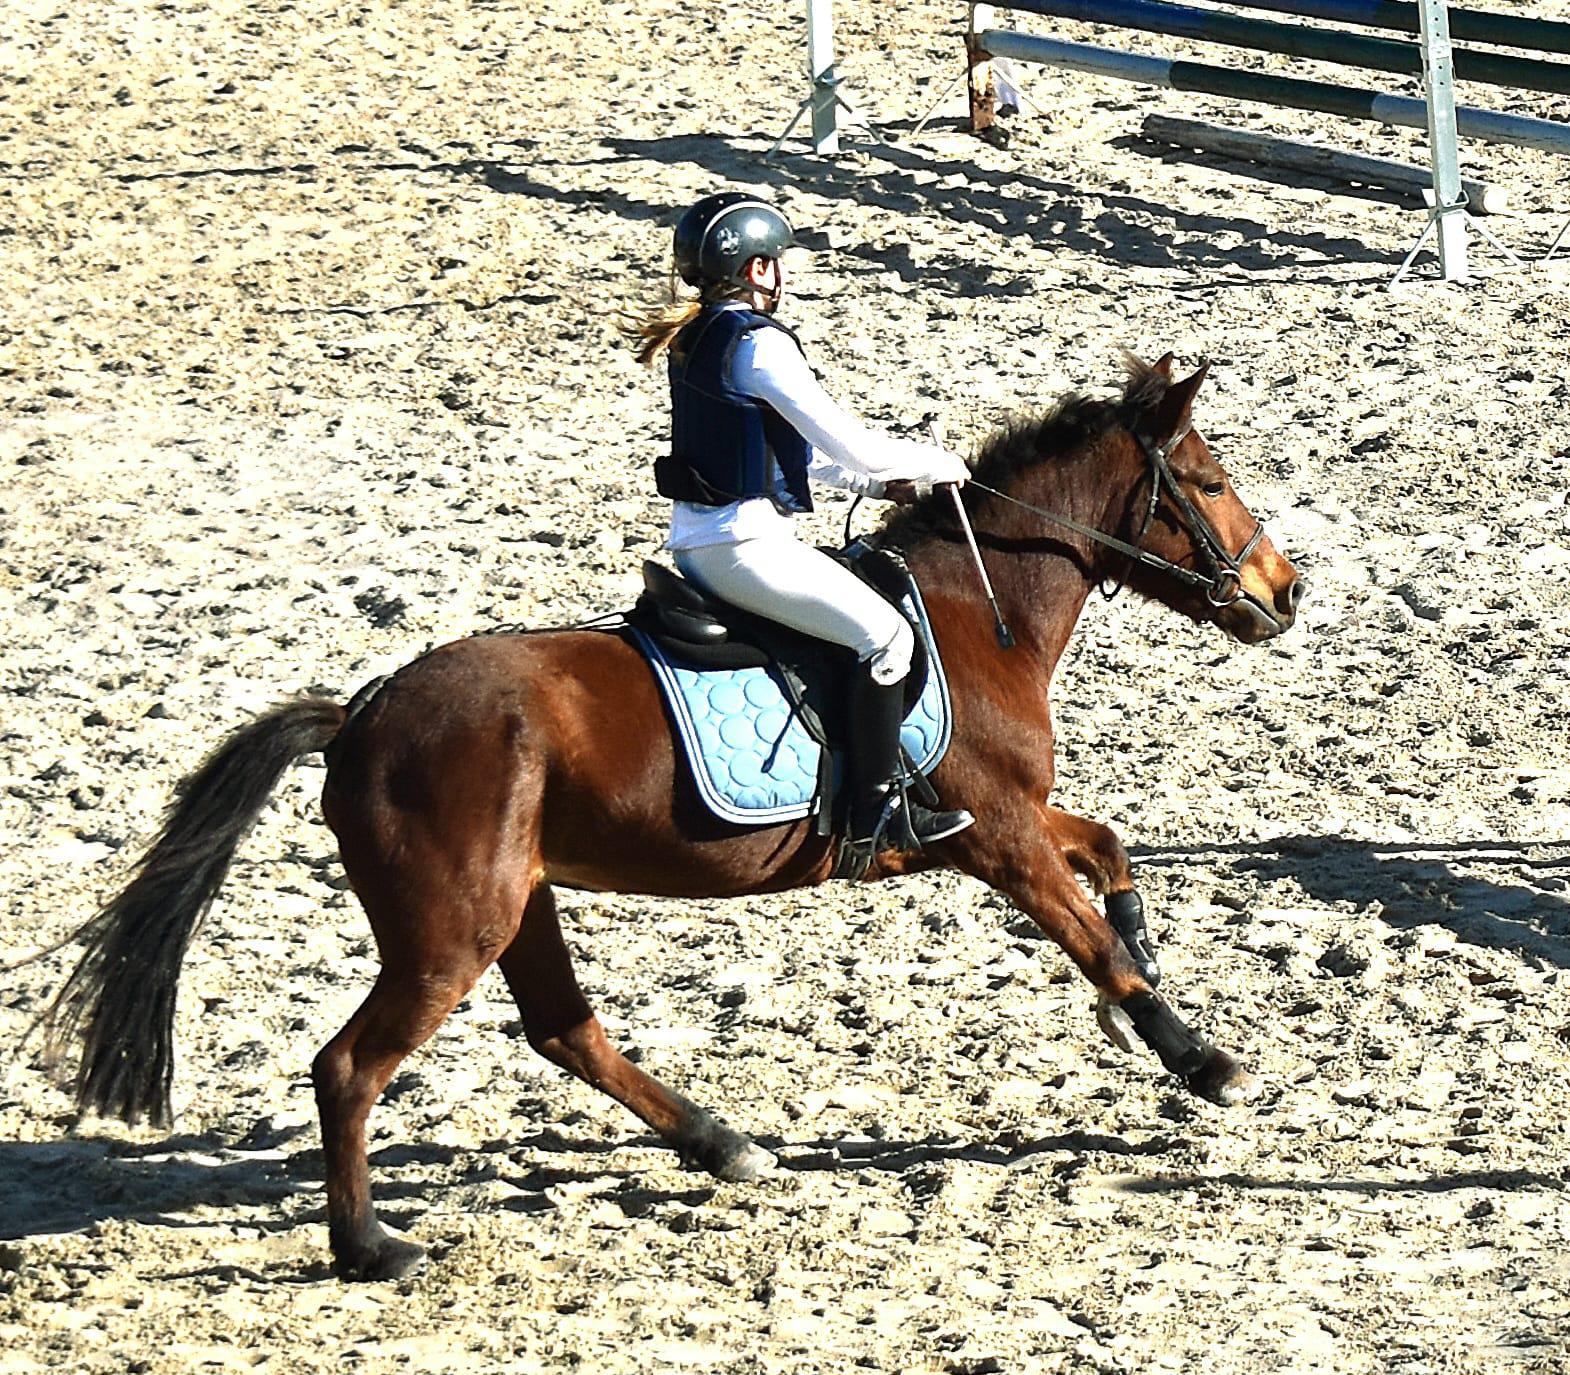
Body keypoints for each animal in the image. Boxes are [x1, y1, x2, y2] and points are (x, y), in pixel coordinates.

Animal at [38, 354, 1302, 1281]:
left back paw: (719, 1140)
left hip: (518, 902)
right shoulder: (995, 834)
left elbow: (1112, 857)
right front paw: (1201, 1058)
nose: (1285, 592)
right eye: (1207, 477)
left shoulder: (1016, 819)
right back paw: (368, 1247)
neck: (974, 607)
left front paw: (1141, 991)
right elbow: (1085, 928)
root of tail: (361, 712)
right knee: (349, 1066)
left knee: (563, 1031)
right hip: (452, 929)